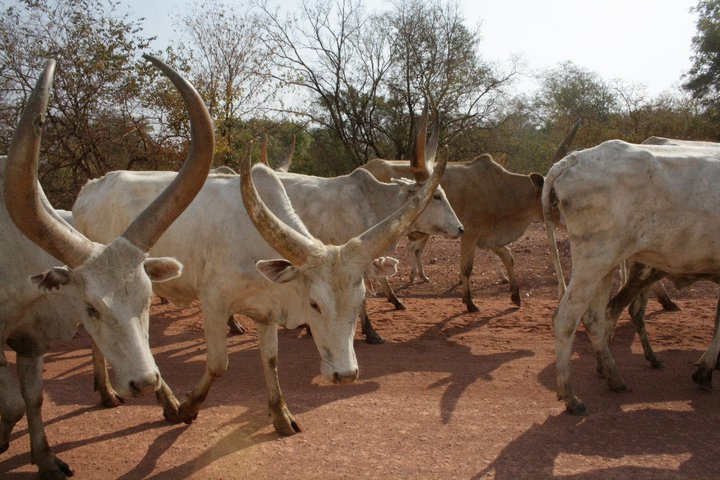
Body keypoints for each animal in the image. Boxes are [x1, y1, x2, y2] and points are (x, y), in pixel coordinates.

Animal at [0, 57, 214, 480]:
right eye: (91, 308)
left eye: (148, 299)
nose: (144, 382)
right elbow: (15, 401)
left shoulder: (30, 340)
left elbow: (31, 398)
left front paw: (45, 459)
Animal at [71, 123, 444, 432]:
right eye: (314, 304)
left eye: (360, 302)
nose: (345, 375)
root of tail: (88, 189)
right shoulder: (213, 304)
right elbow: (218, 364)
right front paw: (189, 408)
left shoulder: (265, 311)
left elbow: (271, 360)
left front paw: (281, 415)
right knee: (99, 335)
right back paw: (123, 394)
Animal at [544, 137, 720, 414]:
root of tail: (573, 159)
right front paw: (705, 371)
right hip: (594, 259)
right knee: (565, 319)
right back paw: (571, 397)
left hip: (606, 265)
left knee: (596, 318)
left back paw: (614, 378)